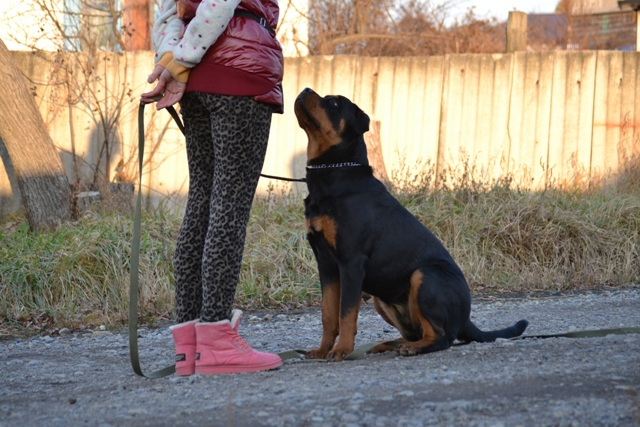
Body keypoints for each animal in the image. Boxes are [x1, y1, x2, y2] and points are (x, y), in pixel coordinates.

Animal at [296, 87, 528, 362]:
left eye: (333, 103)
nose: (305, 89)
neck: (333, 174)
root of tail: (466, 318)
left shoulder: (351, 262)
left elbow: (346, 315)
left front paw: (342, 350)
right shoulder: (327, 265)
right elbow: (328, 315)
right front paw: (323, 350)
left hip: (424, 277)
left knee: (441, 337)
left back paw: (412, 348)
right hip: (381, 299)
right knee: (416, 333)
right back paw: (390, 345)